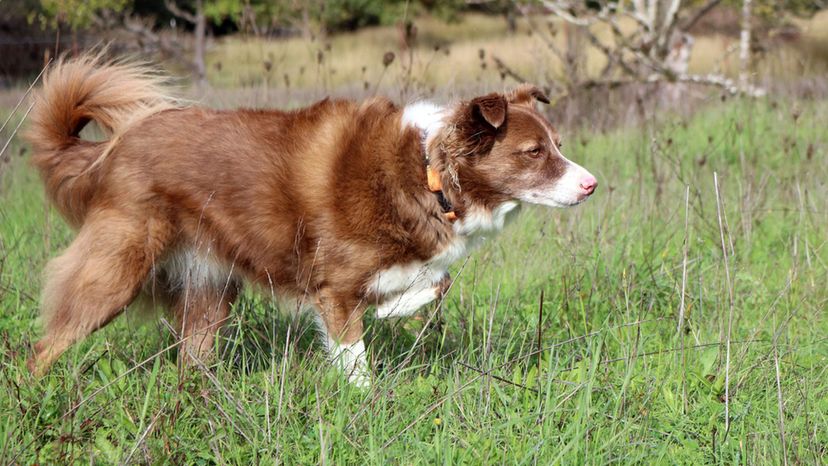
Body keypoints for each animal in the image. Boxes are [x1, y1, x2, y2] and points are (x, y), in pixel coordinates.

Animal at [25, 53, 596, 386]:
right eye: (533, 152)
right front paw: (366, 402)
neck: (426, 170)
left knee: (193, 358)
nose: (590, 184)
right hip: (116, 270)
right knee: (46, 345)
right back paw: (33, 397)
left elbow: (437, 281)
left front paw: (391, 307)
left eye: (558, 145)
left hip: (210, 289)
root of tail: (115, 146)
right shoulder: (332, 284)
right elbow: (354, 351)